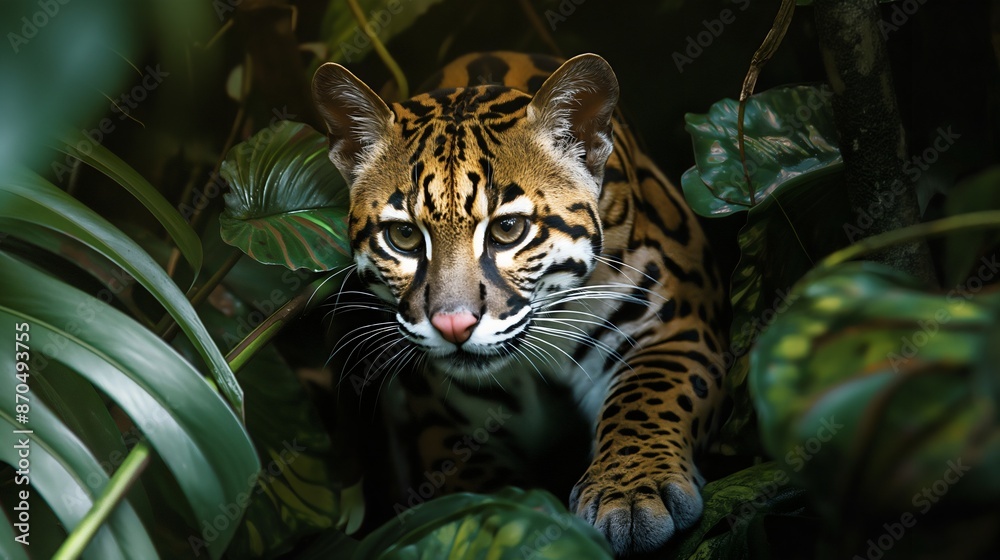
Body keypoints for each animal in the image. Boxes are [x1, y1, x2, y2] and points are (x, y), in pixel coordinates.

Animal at [312, 51, 726, 556]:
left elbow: (646, 399)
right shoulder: (445, 426)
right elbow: (473, 493)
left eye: (508, 229)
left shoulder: (674, 324)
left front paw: (631, 492)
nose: (453, 326)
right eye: (404, 236)